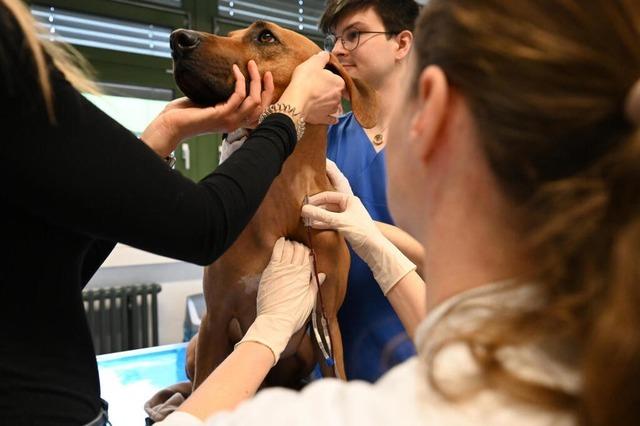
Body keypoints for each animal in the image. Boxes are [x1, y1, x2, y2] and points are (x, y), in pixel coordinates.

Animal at [170, 22, 378, 390]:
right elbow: (204, 383)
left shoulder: (328, 322)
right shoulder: (216, 319)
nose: (178, 39)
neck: (283, 194)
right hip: (199, 343)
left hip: (308, 347)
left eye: (265, 36)